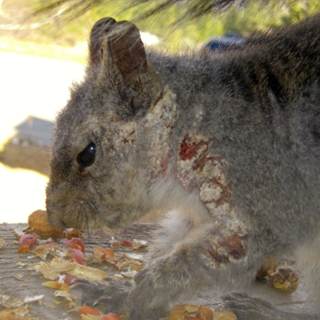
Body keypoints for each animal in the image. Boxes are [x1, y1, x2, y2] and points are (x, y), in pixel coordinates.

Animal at [45, 13, 320, 320]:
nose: (56, 219)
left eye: (87, 154)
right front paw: (120, 291)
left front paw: (147, 290)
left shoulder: (262, 200)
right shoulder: (194, 214)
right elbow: (172, 240)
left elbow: (204, 257)